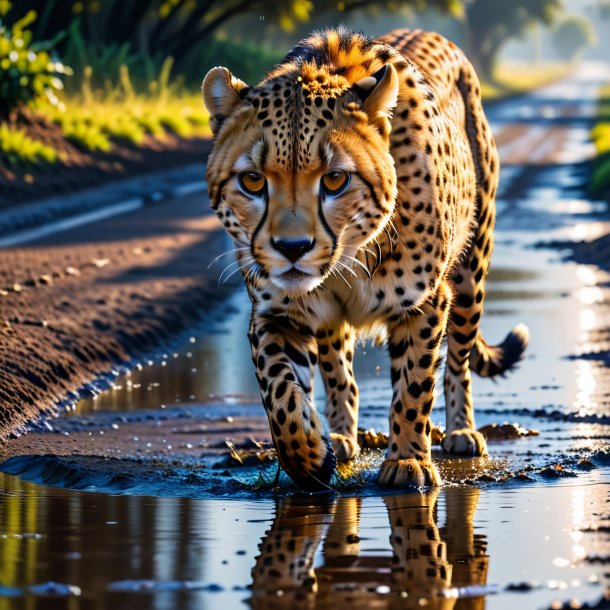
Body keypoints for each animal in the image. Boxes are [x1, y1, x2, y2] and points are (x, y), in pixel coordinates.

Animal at [202, 26, 524, 490]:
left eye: (336, 179)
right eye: (253, 181)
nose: (292, 248)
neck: (348, 258)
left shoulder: (426, 303)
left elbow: (414, 384)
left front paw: (407, 460)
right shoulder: (275, 314)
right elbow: (279, 395)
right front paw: (309, 458)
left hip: (470, 276)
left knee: (459, 359)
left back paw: (461, 431)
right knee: (339, 371)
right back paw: (341, 436)